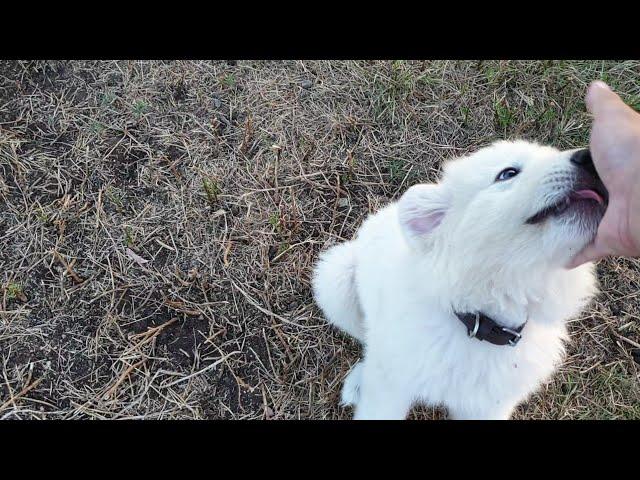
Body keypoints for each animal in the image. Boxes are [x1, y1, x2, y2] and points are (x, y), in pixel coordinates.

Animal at [312, 140, 608, 420]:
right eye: (508, 173)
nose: (591, 158)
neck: (480, 325)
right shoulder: (390, 388)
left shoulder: (487, 406)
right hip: (335, 279)